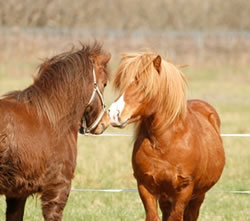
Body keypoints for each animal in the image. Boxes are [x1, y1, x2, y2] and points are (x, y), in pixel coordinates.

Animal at [108, 52, 226, 221]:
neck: (165, 143)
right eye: (122, 85)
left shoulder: (183, 190)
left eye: (144, 86)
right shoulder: (145, 186)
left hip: (198, 196)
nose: (114, 114)